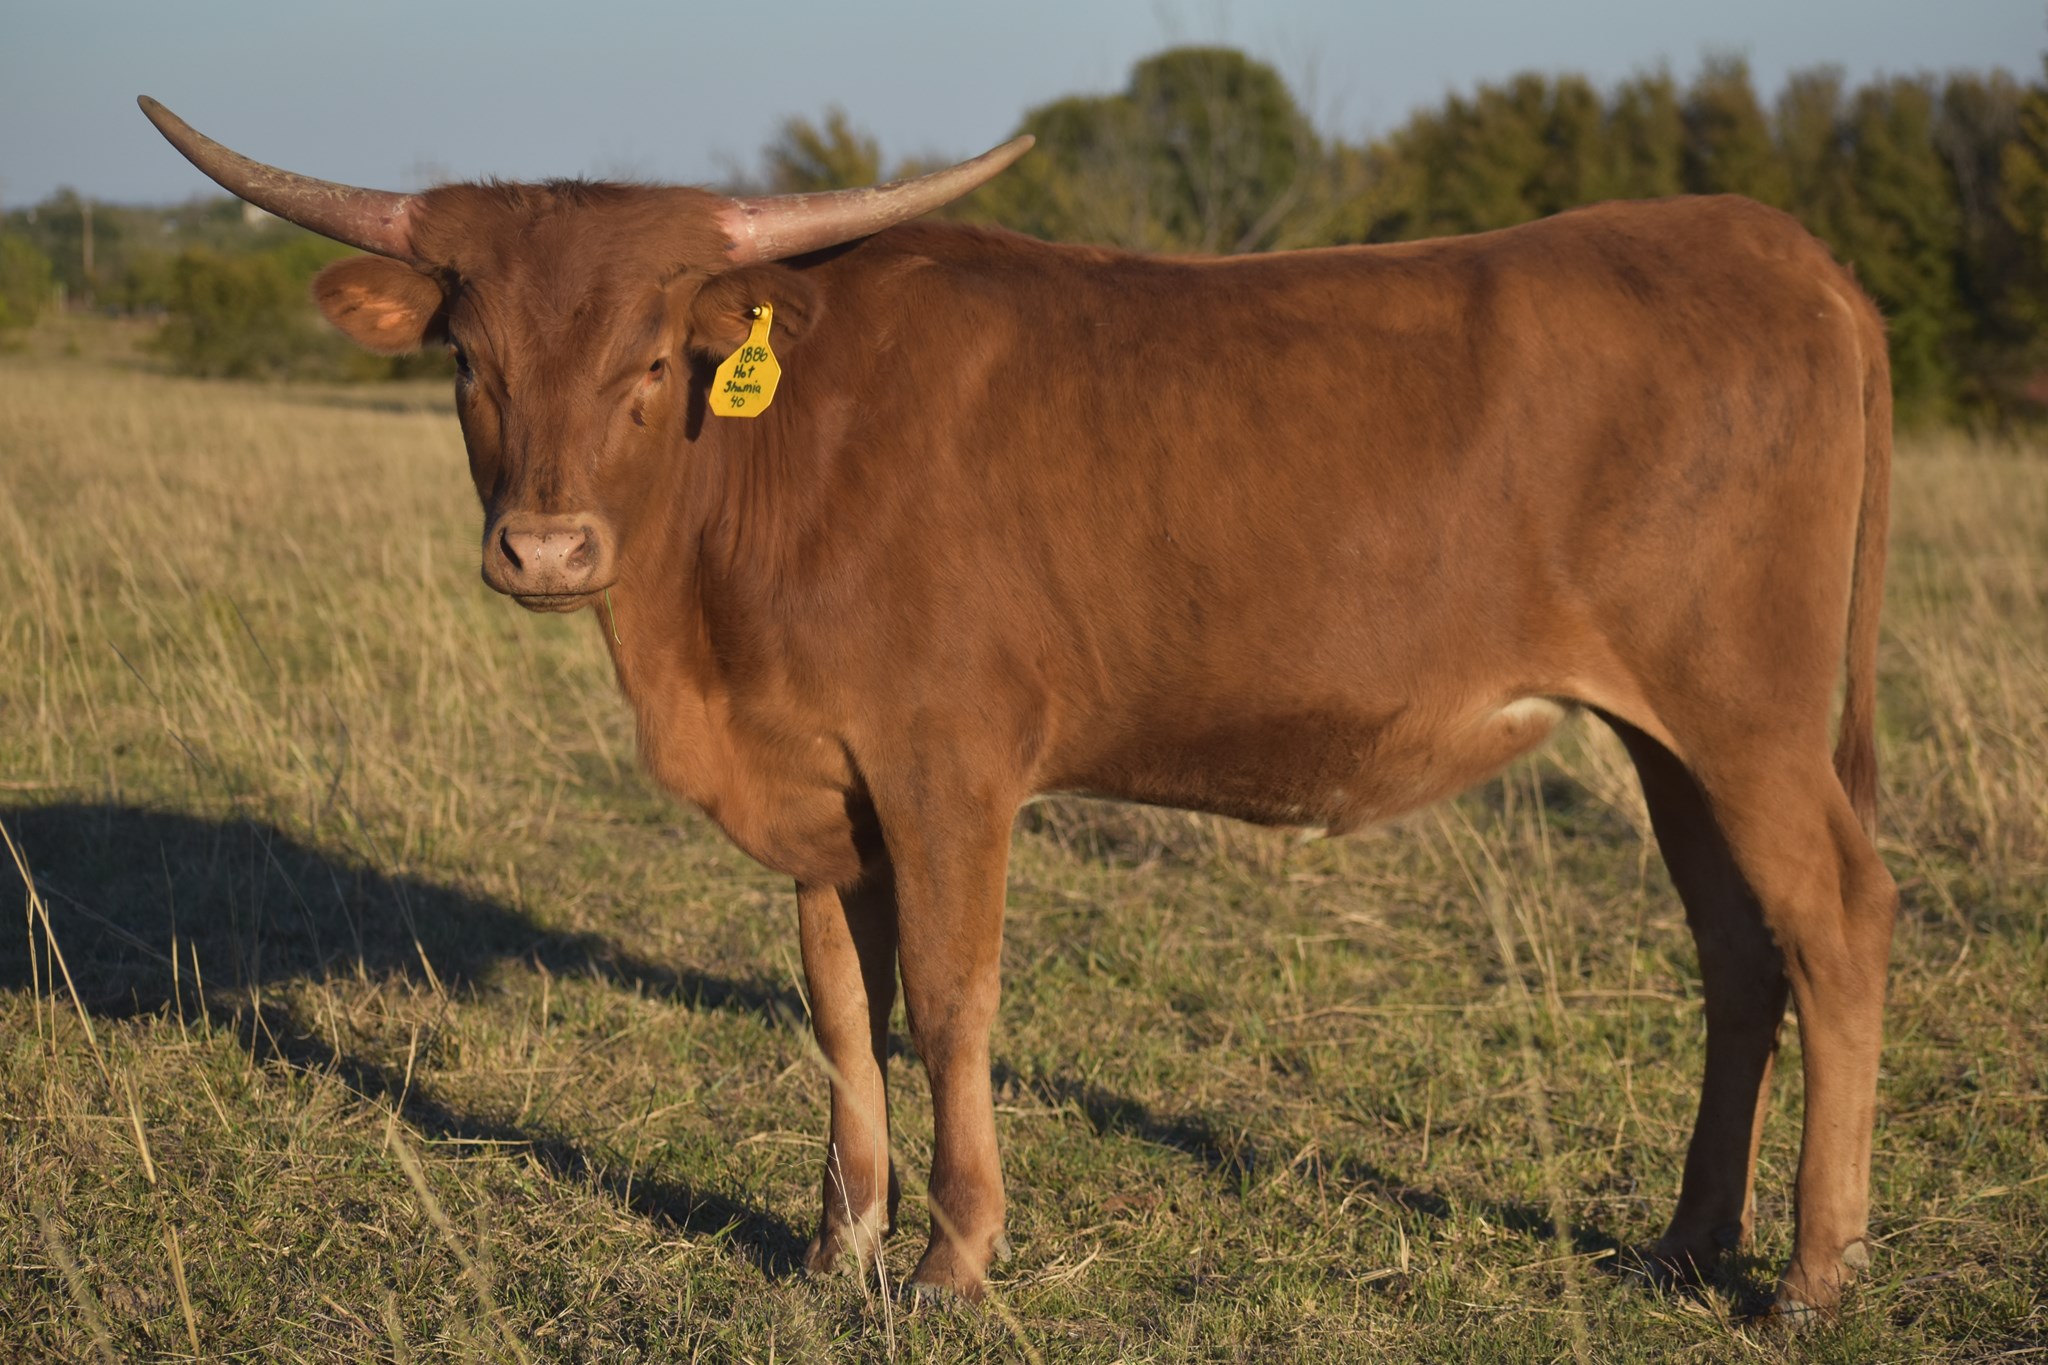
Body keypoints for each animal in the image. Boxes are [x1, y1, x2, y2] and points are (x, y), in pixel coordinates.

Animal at [141, 94, 1896, 1318]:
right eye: (469, 362)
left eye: (650, 361)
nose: (547, 549)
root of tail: (1784, 249)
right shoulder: (824, 788)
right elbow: (837, 1004)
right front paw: (837, 1240)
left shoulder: (947, 765)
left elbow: (951, 1000)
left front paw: (952, 1256)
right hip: (1669, 737)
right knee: (1739, 950)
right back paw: (1687, 1245)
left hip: (1744, 713)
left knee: (1836, 920)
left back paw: (1814, 1274)